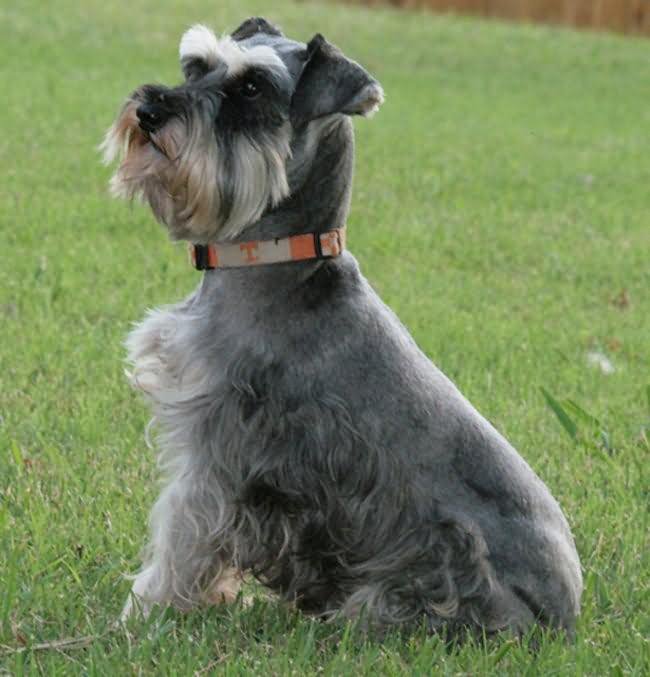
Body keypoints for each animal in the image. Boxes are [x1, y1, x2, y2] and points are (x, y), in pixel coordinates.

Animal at [102, 18, 584, 636]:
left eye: (253, 88)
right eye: (197, 66)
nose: (149, 110)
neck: (273, 262)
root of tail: (562, 620)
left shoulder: (220, 451)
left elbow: (182, 536)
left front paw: (143, 614)